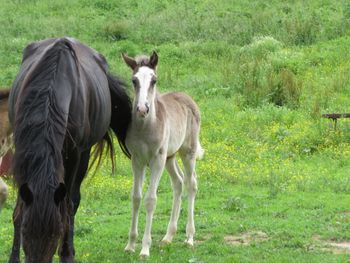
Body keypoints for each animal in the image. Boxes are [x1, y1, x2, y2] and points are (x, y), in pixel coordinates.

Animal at [8, 37, 131, 263]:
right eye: (25, 232)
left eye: (54, 234)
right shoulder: (22, 150)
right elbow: (20, 206)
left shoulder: (74, 154)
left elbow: (68, 204)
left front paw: (66, 254)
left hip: (82, 155)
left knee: (72, 201)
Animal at [123, 51, 204, 258]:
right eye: (134, 80)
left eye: (154, 80)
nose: (142, 109)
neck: (145, 128)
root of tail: (188, 98)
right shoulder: (137, 160)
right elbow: (136, 198)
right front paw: (130, 245)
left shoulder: (156, 160)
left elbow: (150, 200)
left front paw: (144, 249)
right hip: (170, 157)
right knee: (178, 182)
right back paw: (168, 236)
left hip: (187, 152)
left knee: (191, 183)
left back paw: (189, 237)